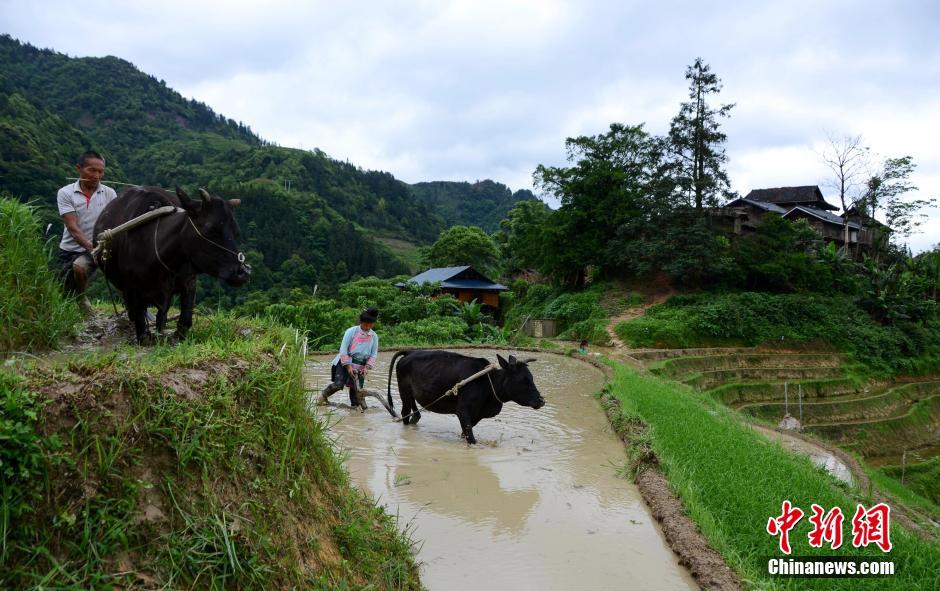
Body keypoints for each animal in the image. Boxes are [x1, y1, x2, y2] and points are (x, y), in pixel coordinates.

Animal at [93, 185, 250, 342]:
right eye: (211, 230)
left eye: (236, 233)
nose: (243, 272)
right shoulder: (131, 291)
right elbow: (142, 330)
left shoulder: (190, 281)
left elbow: (185, 320)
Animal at [388, 352, 548, 444]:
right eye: (523, 380)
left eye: (531, 378)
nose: (541, 400)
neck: (488, 384)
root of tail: (409, 353)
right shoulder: (463, 410)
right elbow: (471, 439)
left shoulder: (476, 415)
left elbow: (465, 433)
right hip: (404, 392)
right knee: (404, 413)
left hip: (411, 395)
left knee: (415, 412)